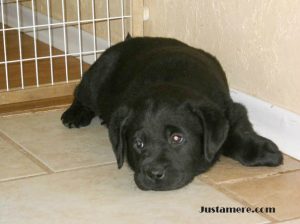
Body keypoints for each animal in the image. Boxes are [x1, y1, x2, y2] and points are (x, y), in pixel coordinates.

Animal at [61, 36, 284, 190]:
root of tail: (127, 40)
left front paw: (263, 151)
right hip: (96, 81)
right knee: (79, 92)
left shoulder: (230, 110)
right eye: (138, 143)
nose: (154, 173)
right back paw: (75, 114)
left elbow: (236, 133)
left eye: (177, 138)